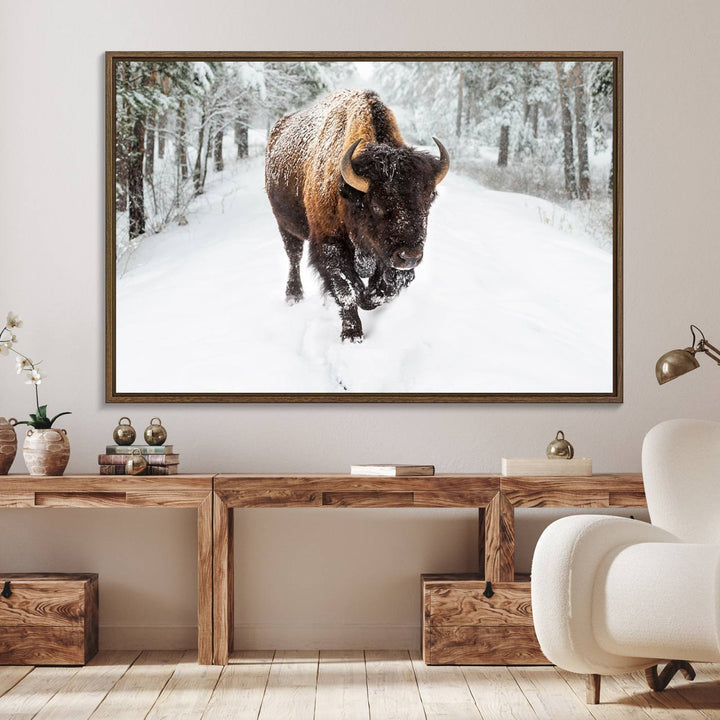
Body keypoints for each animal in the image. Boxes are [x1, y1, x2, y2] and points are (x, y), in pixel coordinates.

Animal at [264, 88, 448, 344]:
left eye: (429, 199)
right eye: (377, 205)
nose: (410, 257)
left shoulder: (385, 256)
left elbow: (383, 290)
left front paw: (368, 297)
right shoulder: (330, 245)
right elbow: (347, 290)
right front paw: (352, 335)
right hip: (285, 225)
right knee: (294, 256)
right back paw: (293, 295)